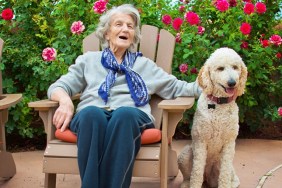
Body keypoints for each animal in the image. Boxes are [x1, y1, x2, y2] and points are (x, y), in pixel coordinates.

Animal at [178, 47, 247, 188]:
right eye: (220, 68)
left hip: (222, 166)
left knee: (231, 177)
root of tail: (207, 178)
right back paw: (186, 184)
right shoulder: (200, 141)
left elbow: (224, 176)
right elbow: (196, 173)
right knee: (190, 176)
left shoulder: (229, 143)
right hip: (186, 153)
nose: (232, 83)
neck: (219, 104)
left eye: (235, 67)